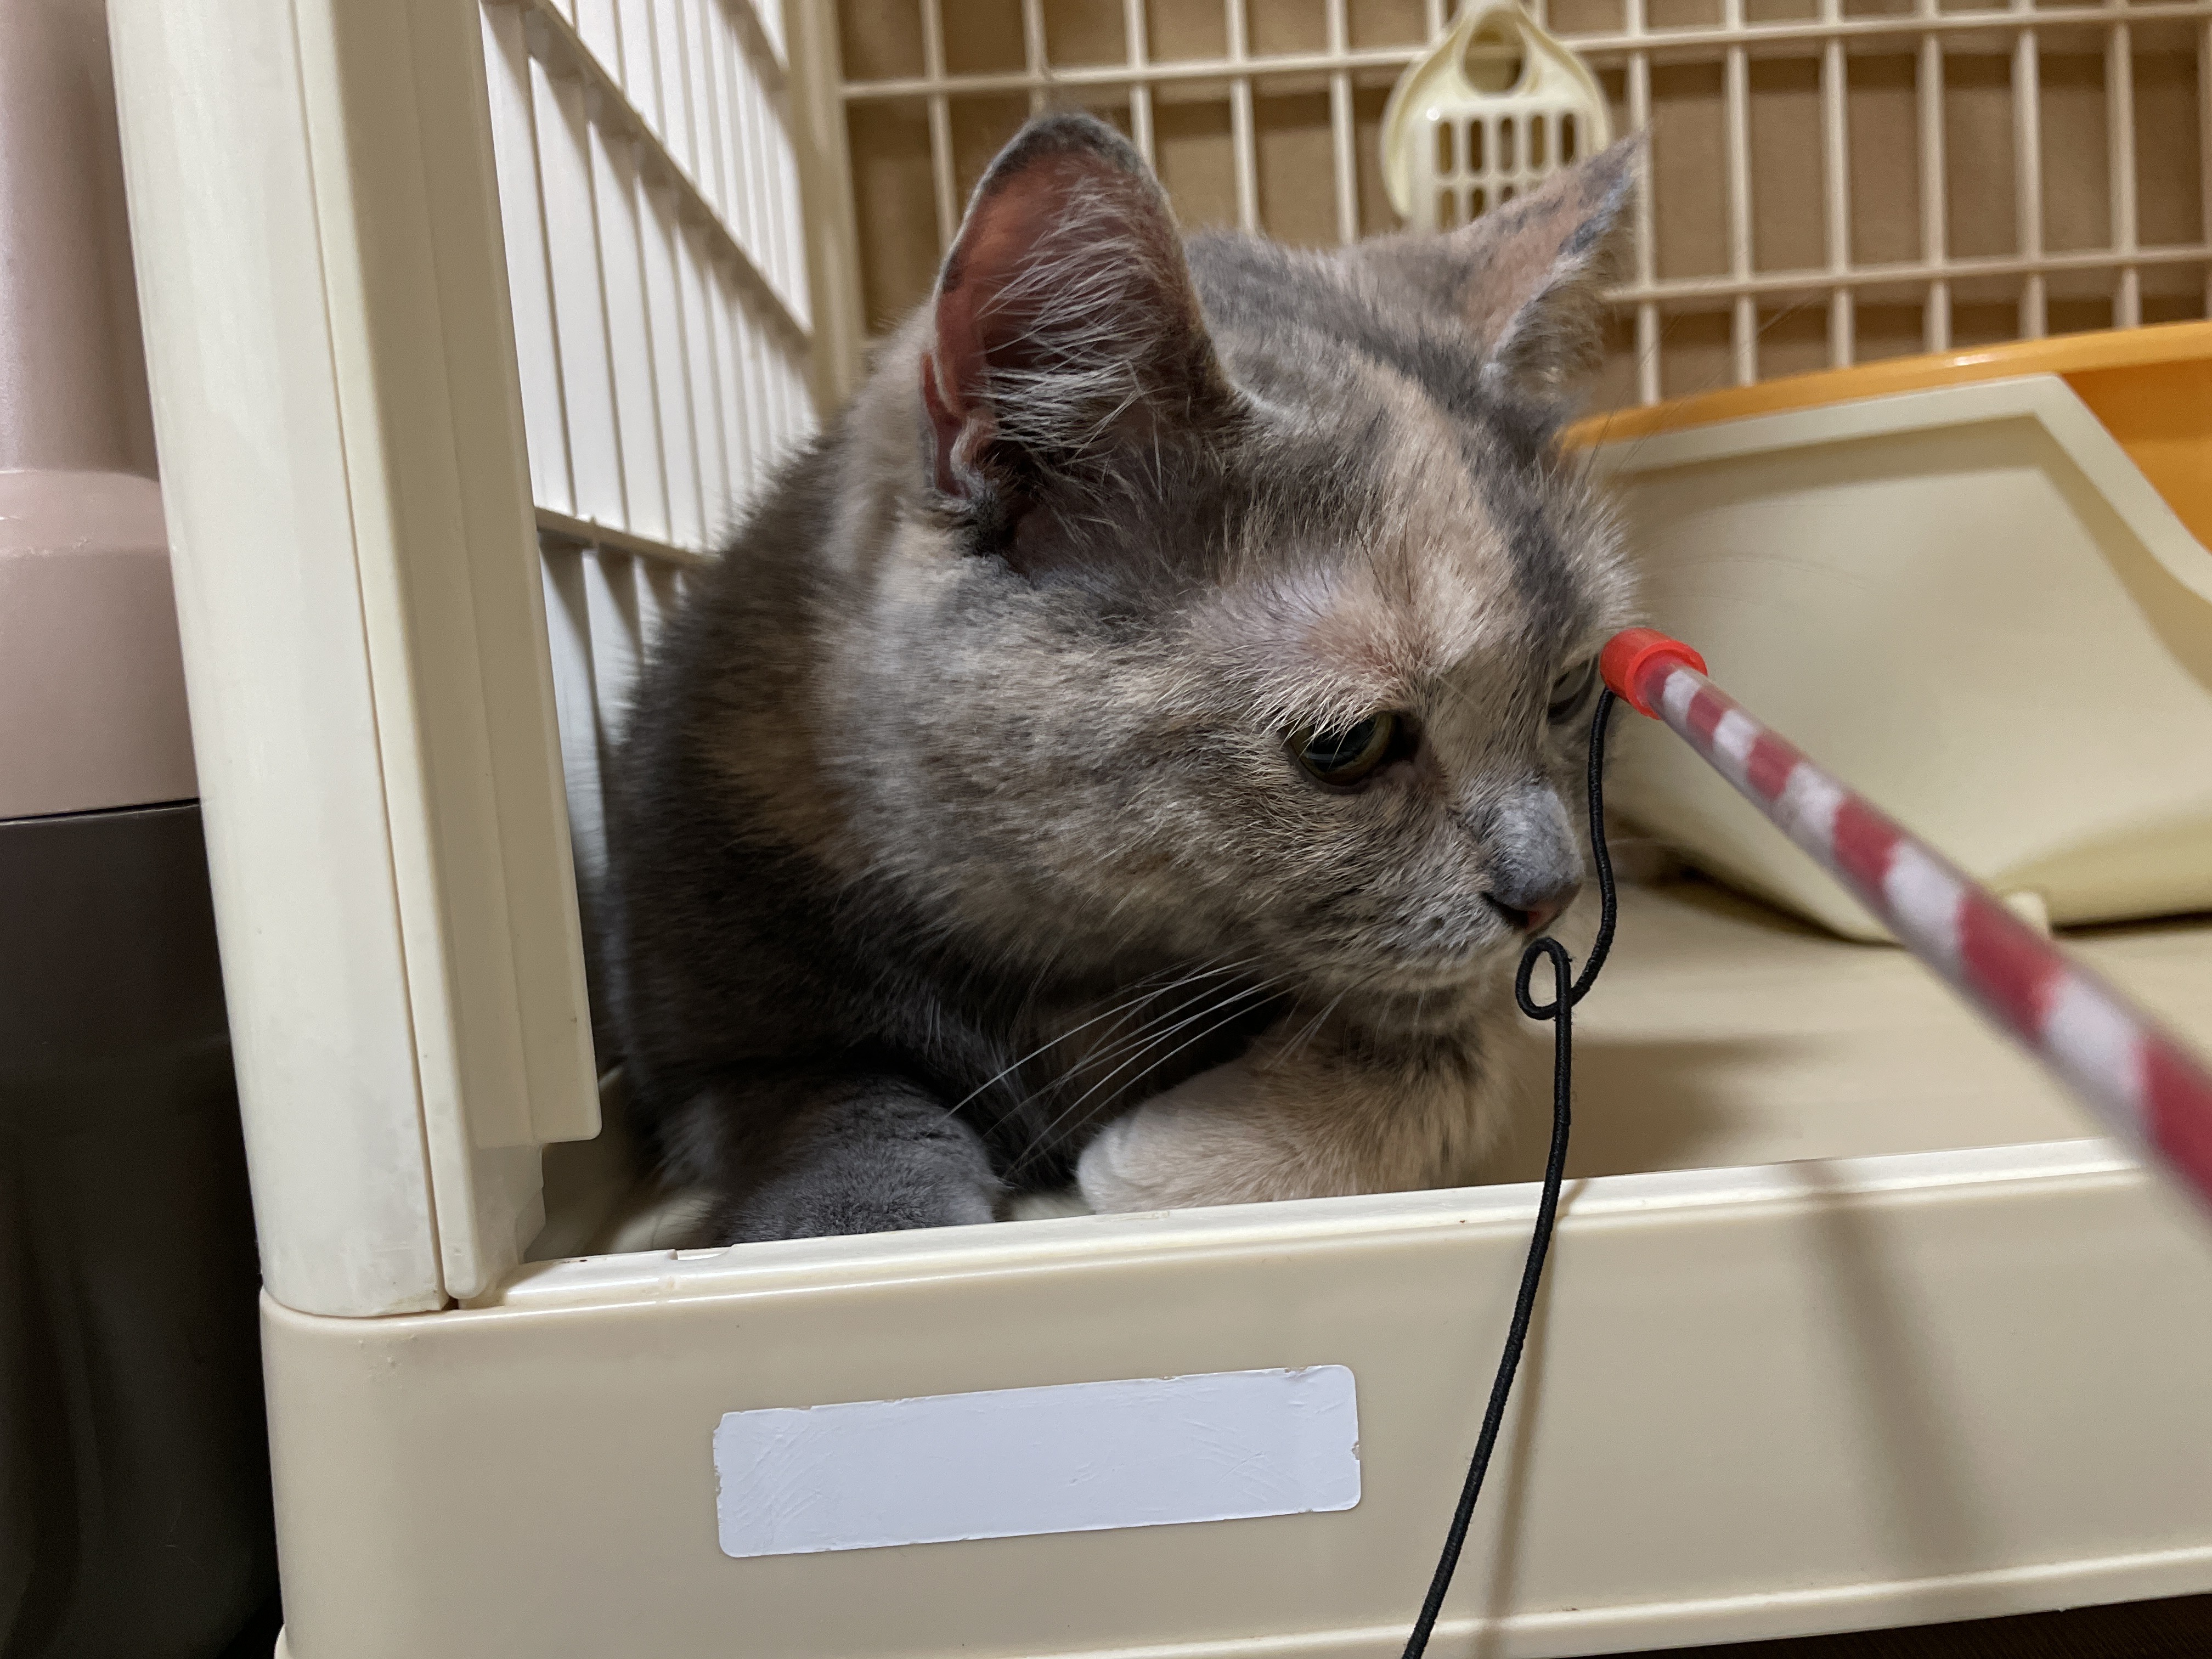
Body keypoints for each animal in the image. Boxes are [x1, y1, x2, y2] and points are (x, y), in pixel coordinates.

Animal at [606, 111, 1638, 1244]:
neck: (1068, 967)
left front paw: (1166, 1155)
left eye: (1567, 688)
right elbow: (842, 1115)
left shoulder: (1462, 1009)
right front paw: (867, 1222)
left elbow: (1450, 1057)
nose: (1551, 891)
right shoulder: (713, 1028)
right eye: (1344, 745)